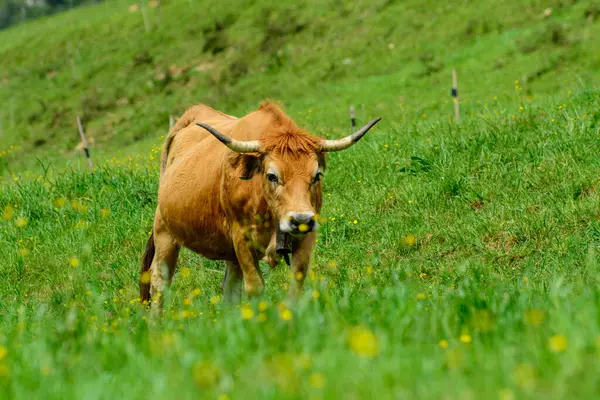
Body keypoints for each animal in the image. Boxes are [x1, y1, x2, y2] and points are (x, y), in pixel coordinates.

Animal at [139, 101, 380, 304]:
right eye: (272, 176)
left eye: (316, 175)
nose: (300, 219)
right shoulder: (241, 237)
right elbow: (255, 286)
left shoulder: (307, 236)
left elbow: (296, 283)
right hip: (164, 231)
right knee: (159, 283)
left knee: (230, 288)